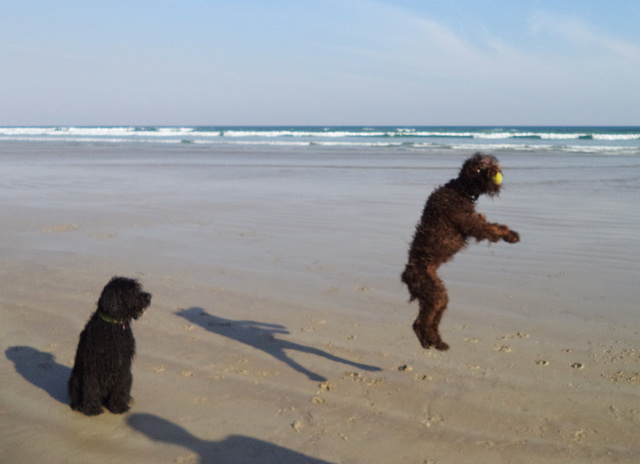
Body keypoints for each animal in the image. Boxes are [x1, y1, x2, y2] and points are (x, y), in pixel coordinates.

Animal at [68, 278, 151, 416]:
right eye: (131, 291)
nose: (148, 296)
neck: (113, 325)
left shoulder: (123, 366)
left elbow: (120, 386)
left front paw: (118, 406)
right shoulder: (93, 366)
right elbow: (91, 387)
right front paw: (92, 408)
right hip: (75, 379)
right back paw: (77, 405)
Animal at [400, 154, 520, 350]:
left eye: (489, 162)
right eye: (480, 167)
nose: (496, 169)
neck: (460, 190)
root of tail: (406, 274)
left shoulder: (475, 221)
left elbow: (493, 225)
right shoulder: (472, 224)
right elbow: (493, 228)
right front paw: (510, 235)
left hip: (438, 296)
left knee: (423, 322)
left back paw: (435, 341)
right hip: (434, 294)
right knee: (420, 323)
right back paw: (432, 341)